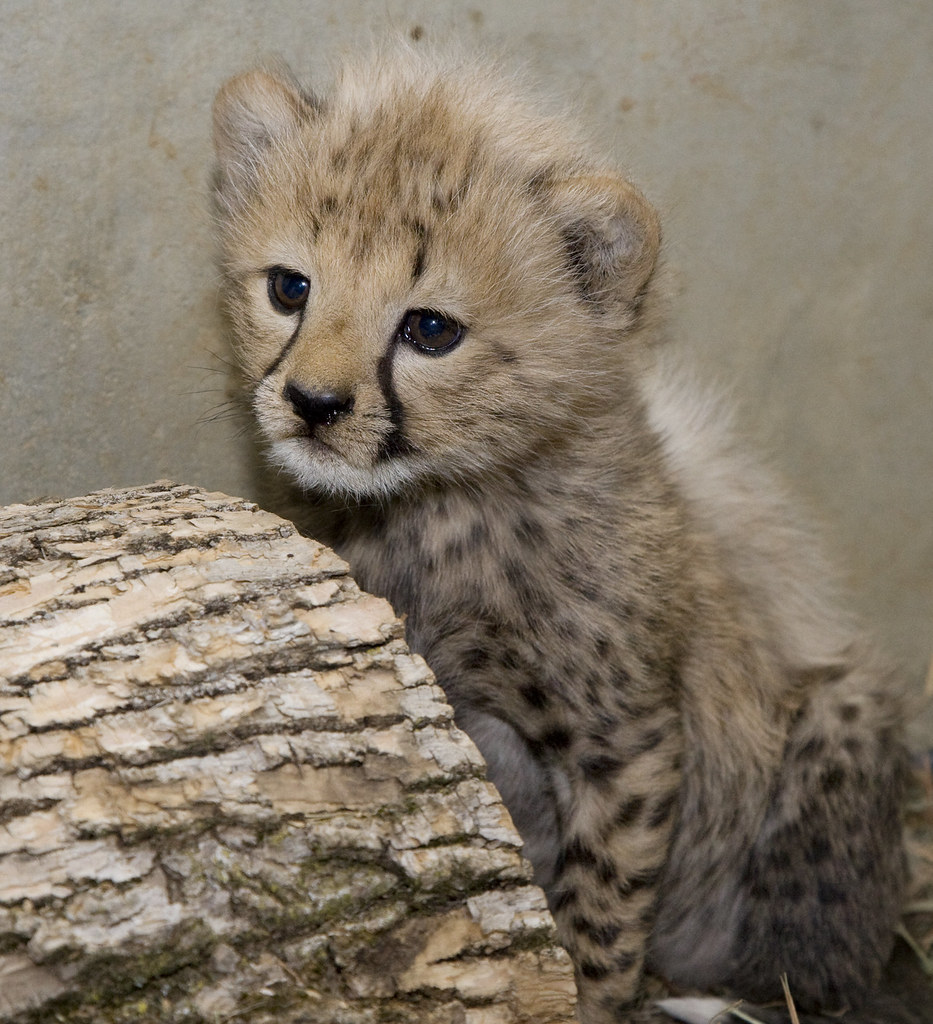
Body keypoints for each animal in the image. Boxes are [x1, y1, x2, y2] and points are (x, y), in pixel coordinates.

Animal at [210, 44, 909, 1023]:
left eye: (429, 328)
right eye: (289, 287)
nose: (313, 404)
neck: (445, 511)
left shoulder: (628, 745)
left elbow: (601, 907)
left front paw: (585, 990)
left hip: (839, 720)